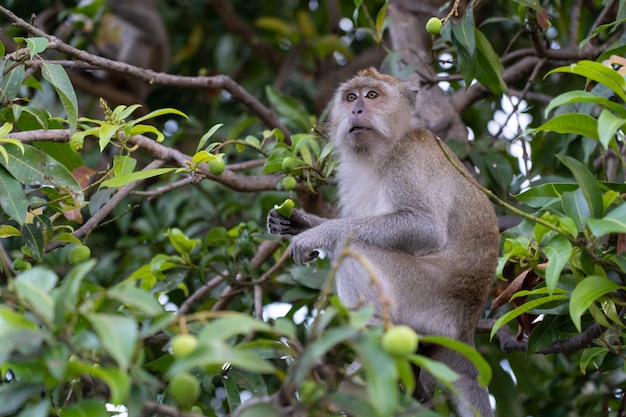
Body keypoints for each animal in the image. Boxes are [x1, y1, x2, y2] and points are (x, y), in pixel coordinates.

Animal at [266, 68, 498, 416]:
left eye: (372, 95)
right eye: (351, 97)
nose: (356, 110)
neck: (383, 150)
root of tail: (465, 326)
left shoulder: (410, 158)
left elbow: (424, 226)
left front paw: (314, 235)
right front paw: (297, 221)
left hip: (423, 302)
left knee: (354, 249)